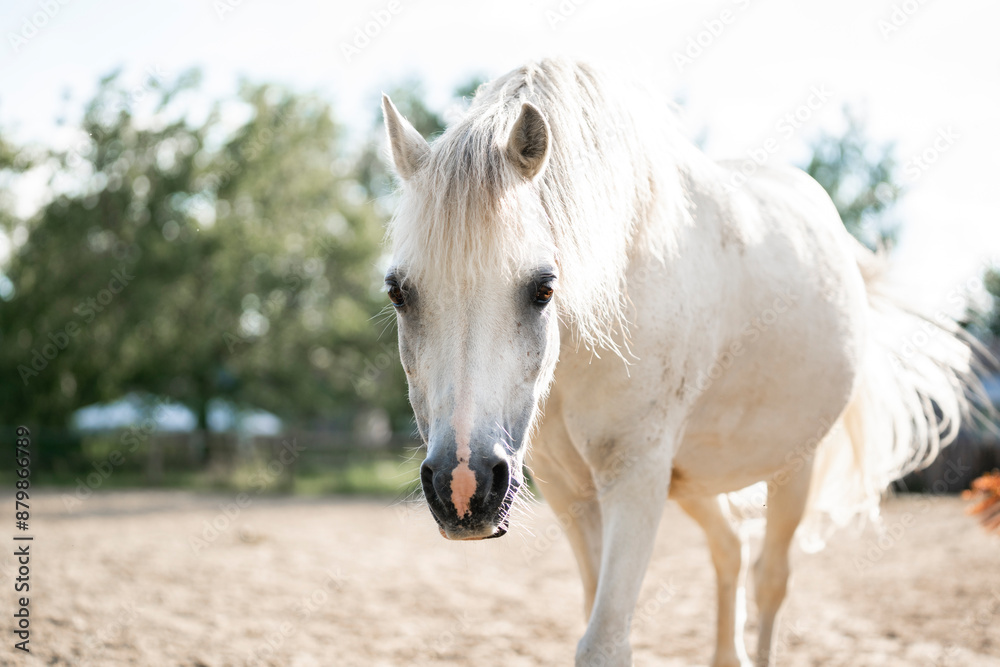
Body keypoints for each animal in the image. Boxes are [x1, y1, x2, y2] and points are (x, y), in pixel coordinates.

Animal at [379, 58, 979, 666]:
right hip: (690, 481)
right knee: (731, 549)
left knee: (771, 579)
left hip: (793, 467)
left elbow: (605, 641)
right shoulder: (571, 493)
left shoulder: (635, 477)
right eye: (398, 292)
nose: (463, 486)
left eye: (544, 288)